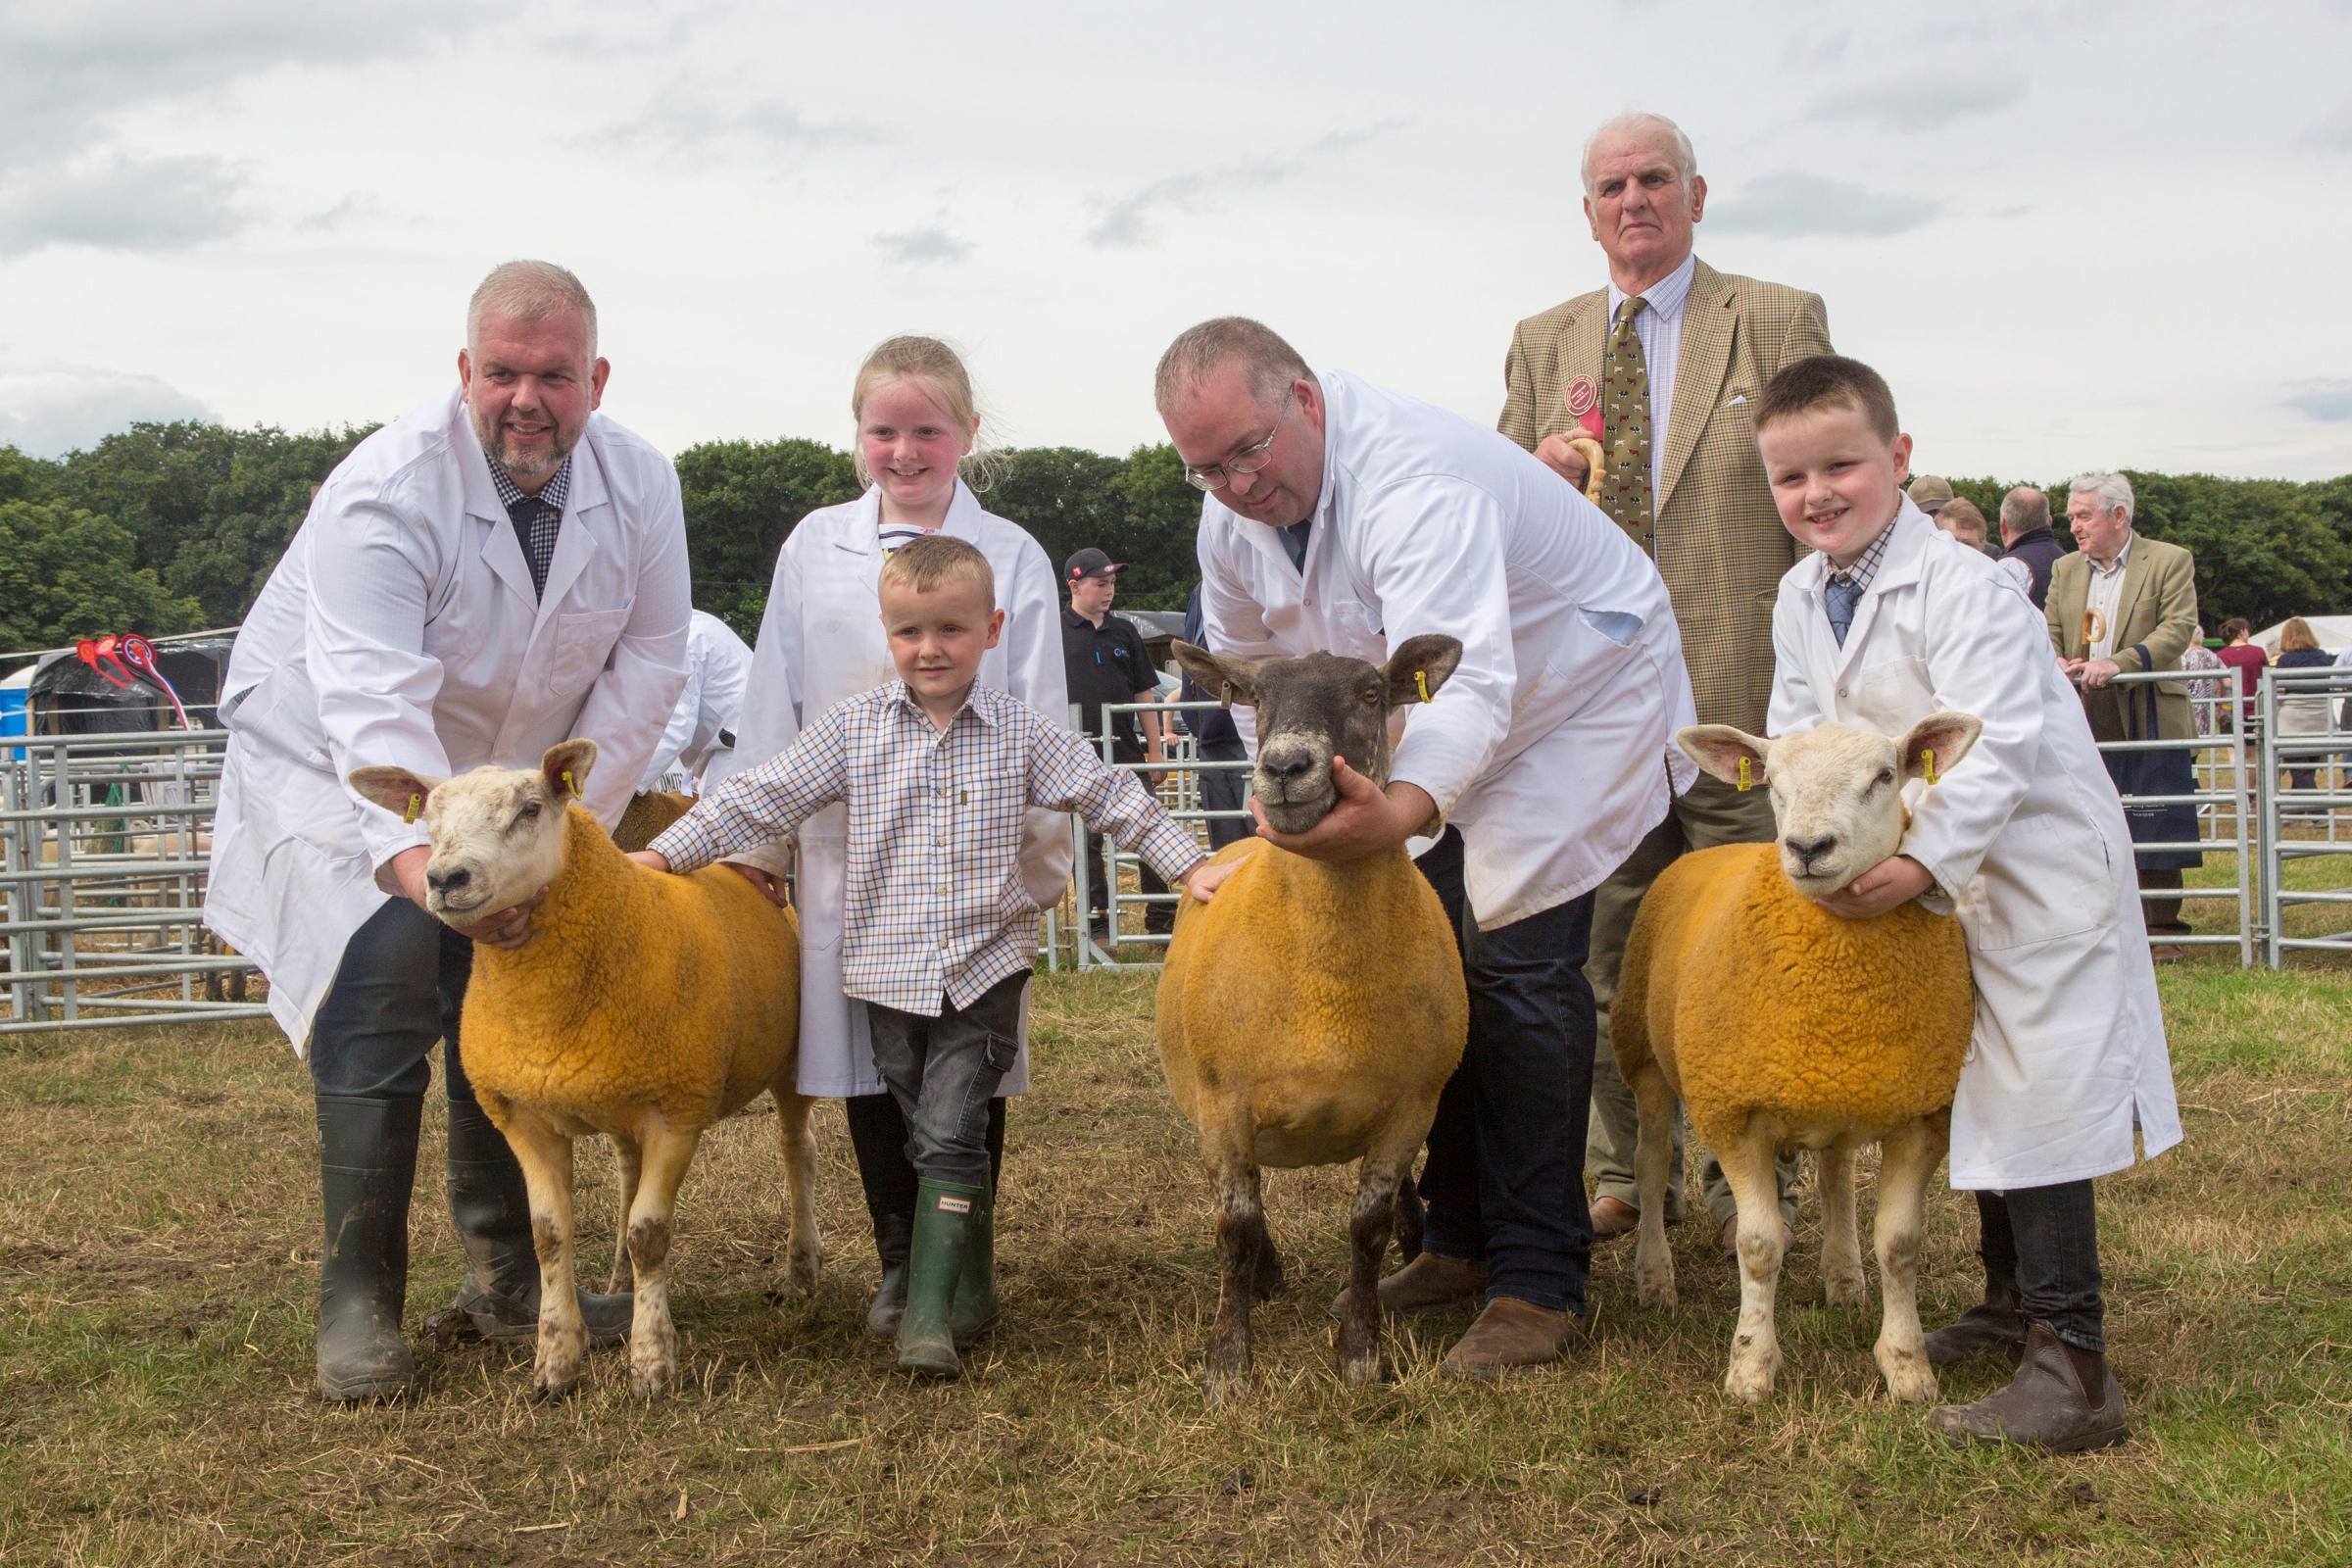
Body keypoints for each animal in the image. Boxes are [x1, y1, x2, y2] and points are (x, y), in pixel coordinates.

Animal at [343, 743, 823, 1400]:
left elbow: (651, 1234)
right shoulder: (524, 1118)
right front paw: (555, 1361)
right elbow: (548, 1235)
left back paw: (802, 1269)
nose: (443, 880)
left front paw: (651, 1362)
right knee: (628, 1174)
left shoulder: (679, 1109)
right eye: (429, 819)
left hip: (791, 1062)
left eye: (530, 809)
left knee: (796, 1151)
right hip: (619, 1099)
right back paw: (620, 1282)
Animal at [1156, 639, 1467, 1400]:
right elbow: (1234, 1228)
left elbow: (1367, 1227)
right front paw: (1228, 1364)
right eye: (1259, 696)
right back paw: (1266, 1276)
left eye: (1369, 693)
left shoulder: (1410, 1105)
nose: (1285, 768)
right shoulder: (1225, 1104)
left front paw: (1361, 1352)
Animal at [1608, 719, 1976, 1400]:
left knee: (1836, 1176)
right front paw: (1751, 1368)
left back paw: (1844, 1278)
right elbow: (1758, 1247)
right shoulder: (1733, 1112)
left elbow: (1900, 1245)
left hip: (1840, 1093)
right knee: (1649, 1166)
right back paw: (1654, 1277)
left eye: (1885, 776)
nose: (1807, 847)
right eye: (1773, 782)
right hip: (1644, 1057)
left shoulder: (1921, 1113)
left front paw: (1907, 1366)